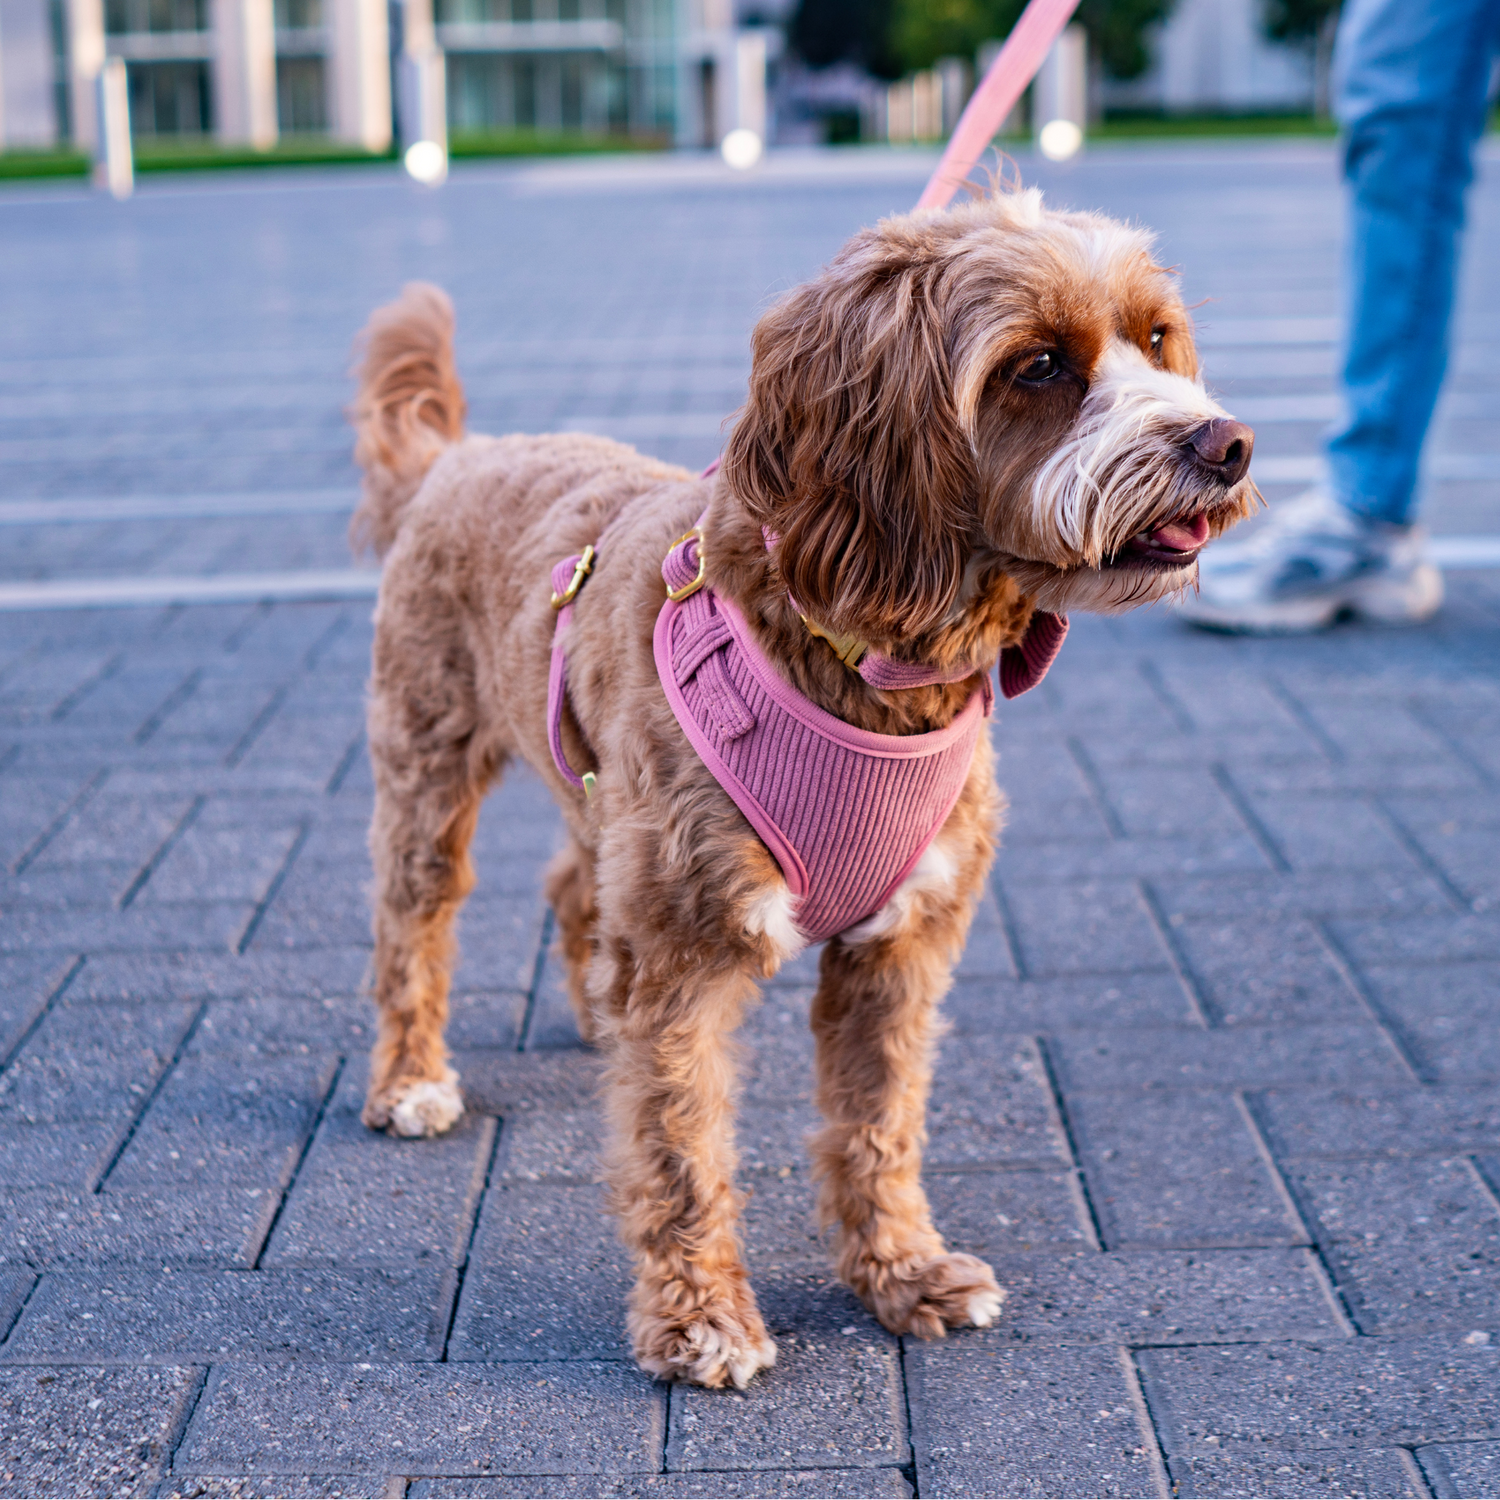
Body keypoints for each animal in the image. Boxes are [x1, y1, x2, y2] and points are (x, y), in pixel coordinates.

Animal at [345, 187, 1260, 1392]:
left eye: (1156, 340)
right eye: (1038, 366)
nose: (1227, 443)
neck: (875, 661)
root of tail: (459, 457)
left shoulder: (902, 944)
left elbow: (879, 1122)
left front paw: (902, 1272)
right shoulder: (684, 955)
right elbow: (681, 1147)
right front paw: (701, 1320)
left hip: (608, 800)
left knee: (573, 882)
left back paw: (590, 1010)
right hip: (428, 753)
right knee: (415, 919)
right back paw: (410, 1079)